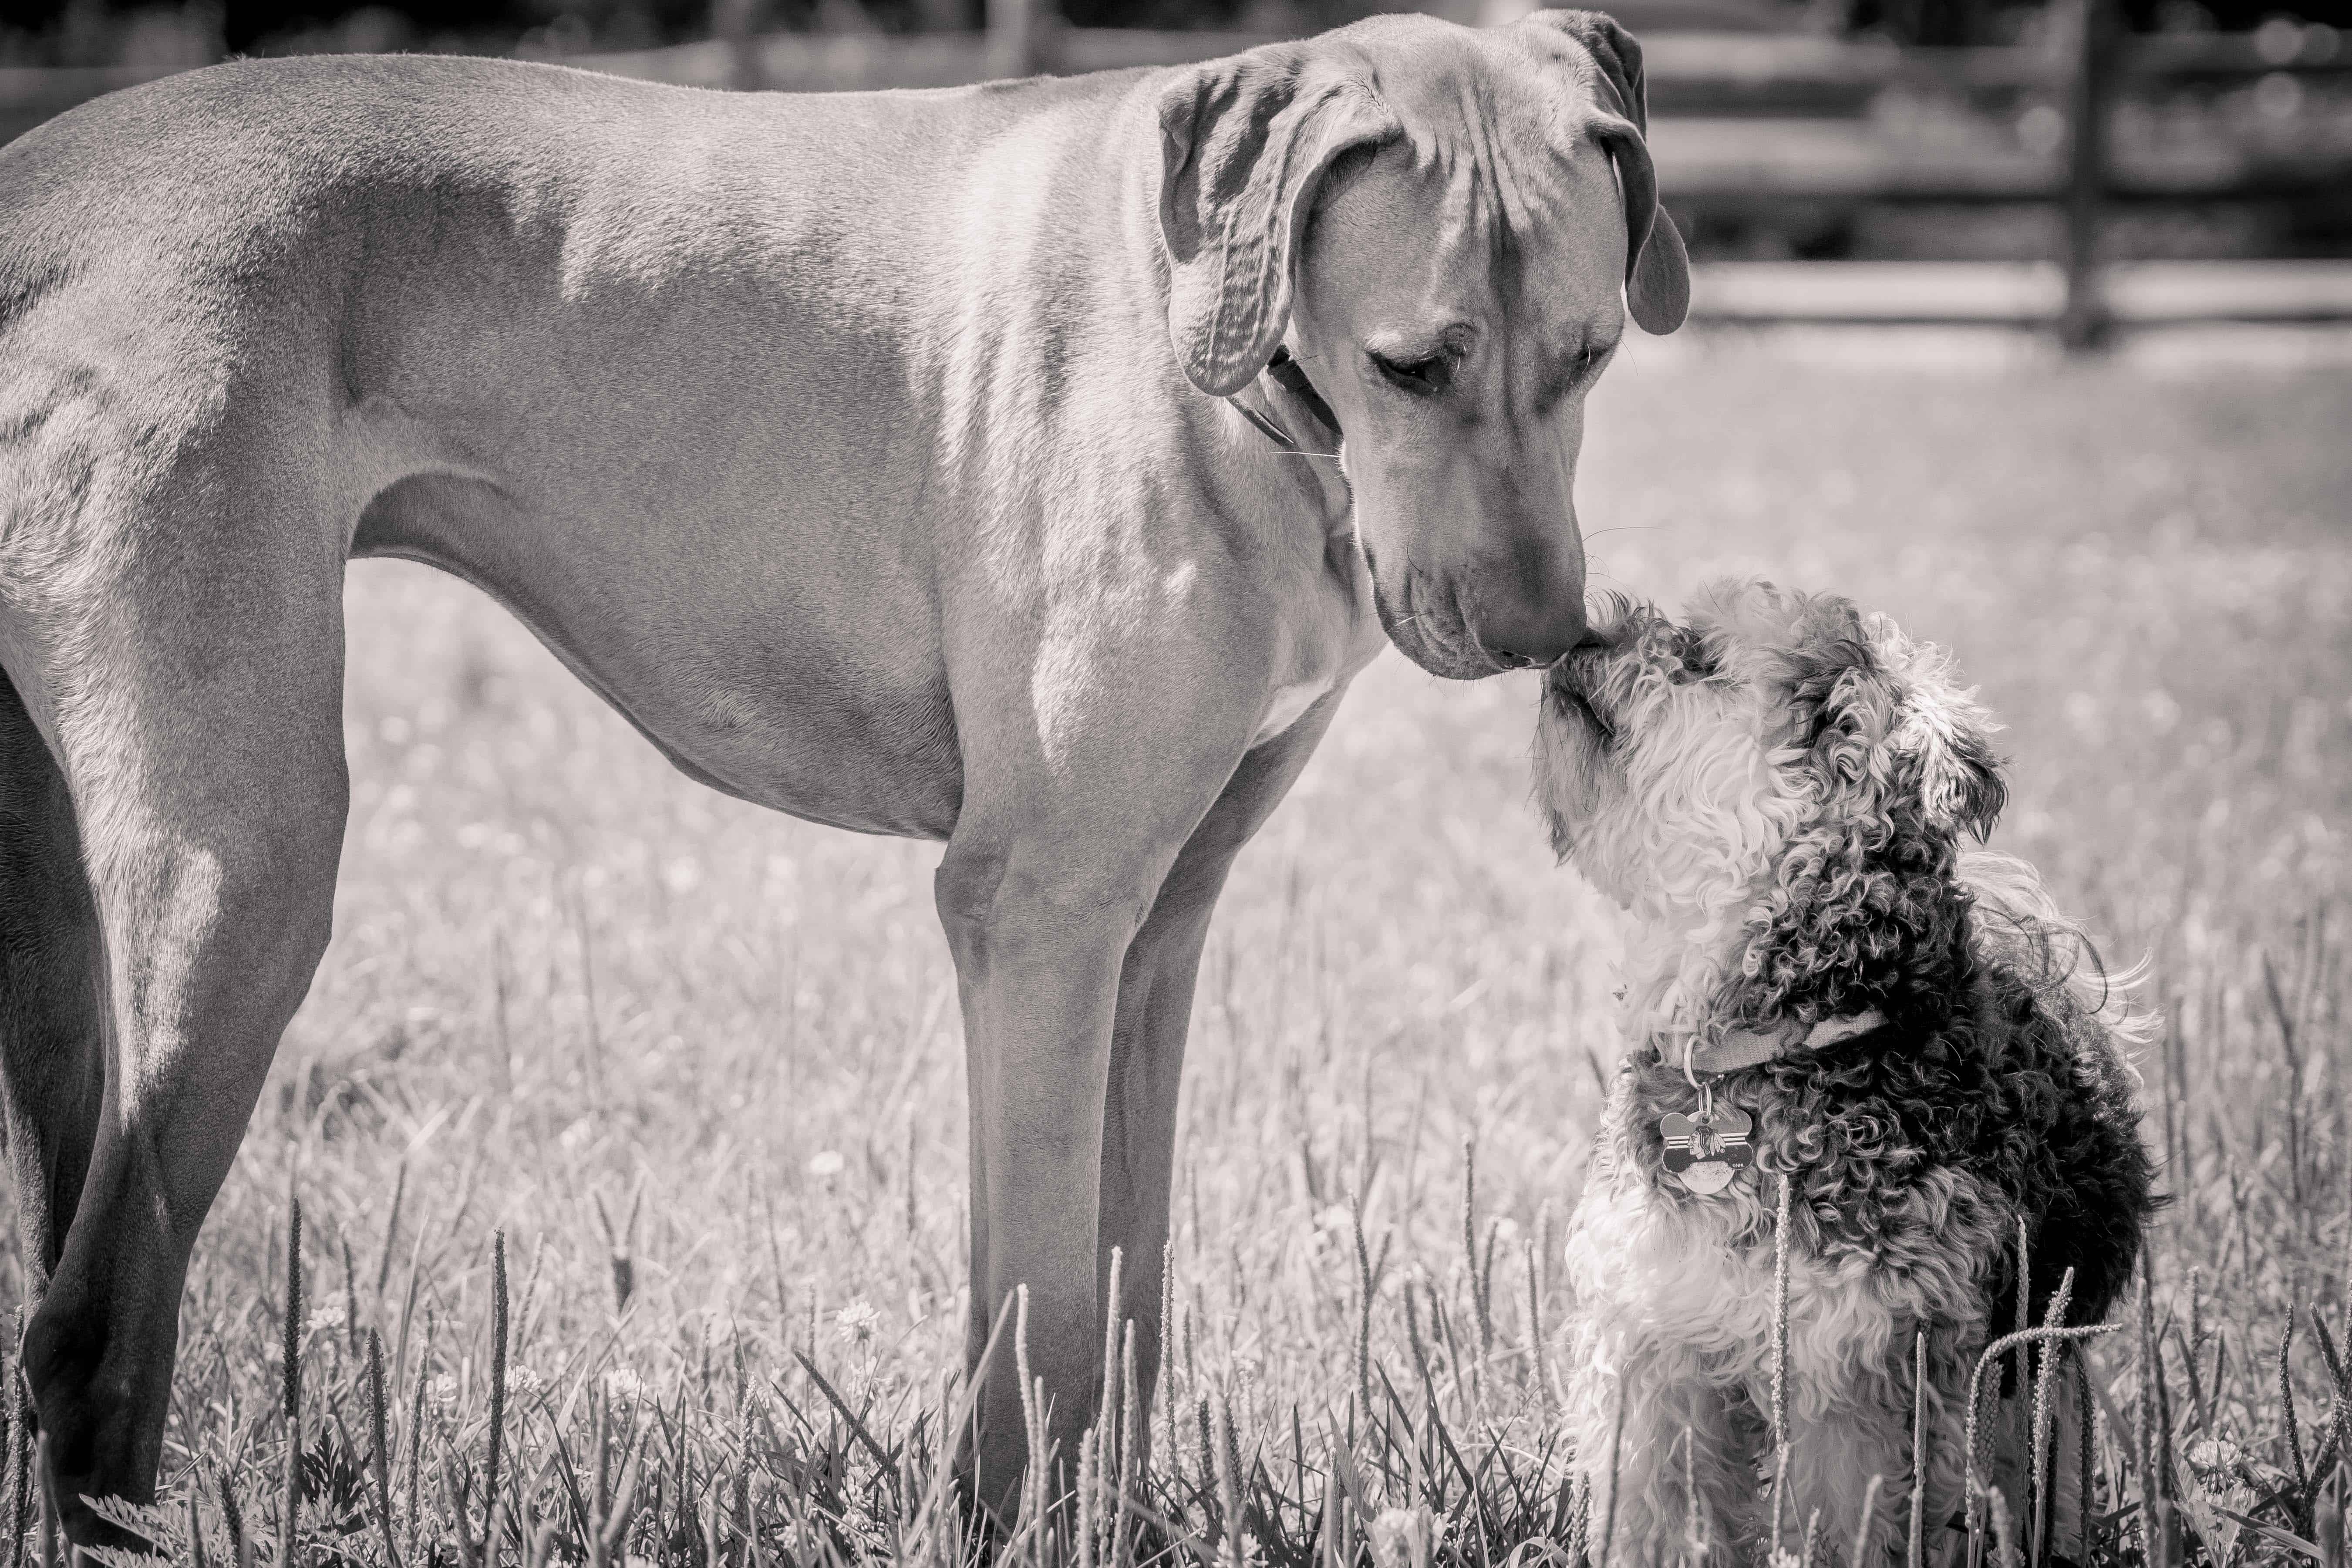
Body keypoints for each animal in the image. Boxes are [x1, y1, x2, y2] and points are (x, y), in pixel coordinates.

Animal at [1533, 583, 2154, 1561]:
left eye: (1698, 656)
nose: (1581, 632)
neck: (1781, 1040)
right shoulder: (1661, 1353)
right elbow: (1660, 1515)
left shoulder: (1865, 1378)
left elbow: (1855, 1524)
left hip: (2029, 1375)